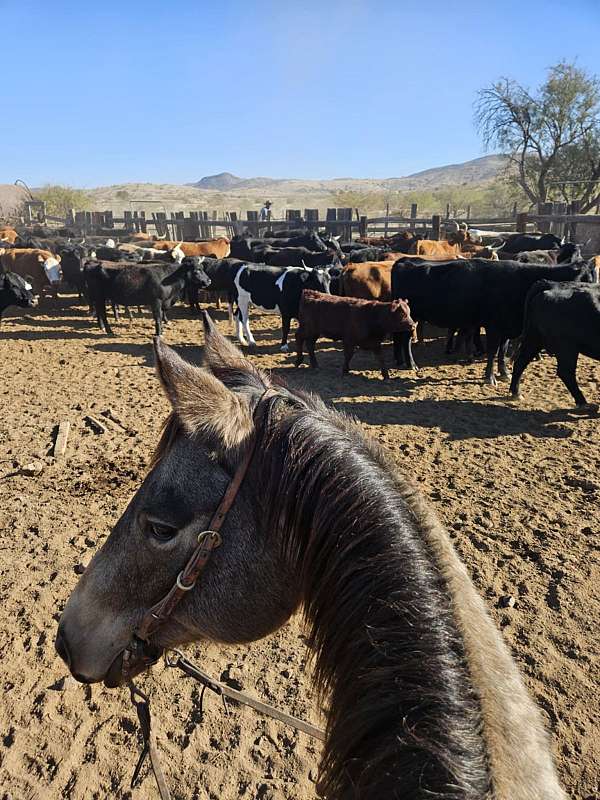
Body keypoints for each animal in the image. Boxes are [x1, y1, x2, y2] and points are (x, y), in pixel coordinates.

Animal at [390, 256, 596, 382]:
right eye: (586, 279)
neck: (518, 282)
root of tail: (405, 260)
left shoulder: (506, 328)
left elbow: (501, 352)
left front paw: (504, 373)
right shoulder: (493, 326)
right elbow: (492, 351)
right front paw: (490, 377)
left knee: (403, 339)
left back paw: (406, 363)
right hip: (411, 317)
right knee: (406, 339)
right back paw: (412, 364)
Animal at [508, 282, 600, 410]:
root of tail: (552, 284)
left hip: (534, 339)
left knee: (520, 362)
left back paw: (516, 393)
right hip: (566, 347)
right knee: (565, 372)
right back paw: (583, 402)